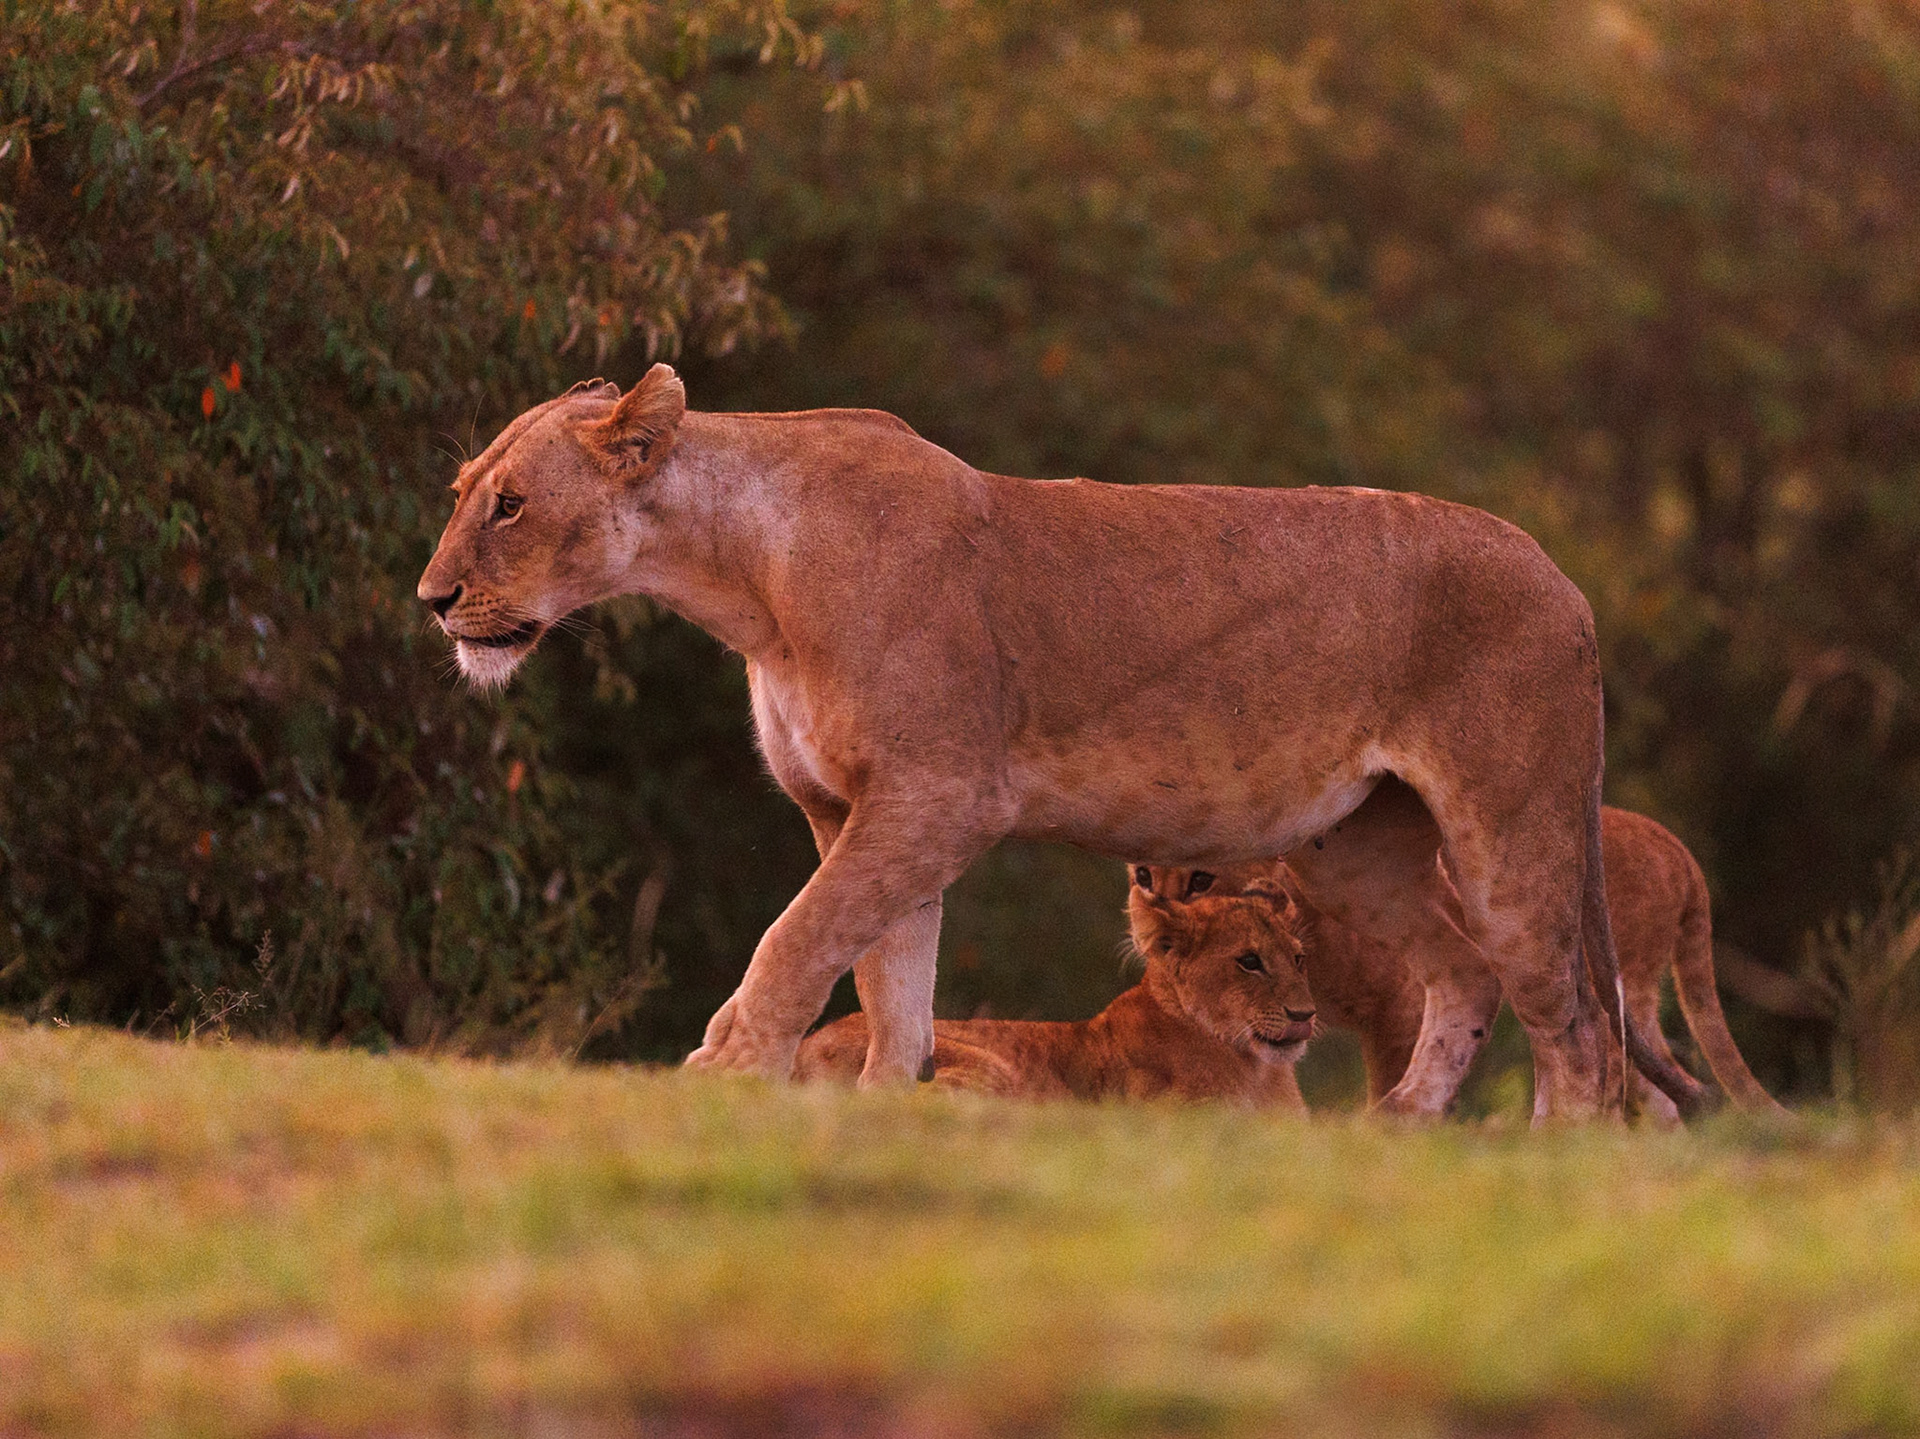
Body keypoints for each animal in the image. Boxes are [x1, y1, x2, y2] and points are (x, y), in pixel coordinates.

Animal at [795, 889, 1316, 1107]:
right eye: (1248, 961)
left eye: (1298, 959)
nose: (1305, 1014)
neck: (1259, 1070)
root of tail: (803, 1052)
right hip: (987, 1069)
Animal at [1133, 800, 1783, 1119]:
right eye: (1142, 875)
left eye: (1200, 878)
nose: (1152, 916)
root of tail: (1676, 847)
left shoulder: (1399, 1001)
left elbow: (1396, 1076)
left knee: (1649, 1080)